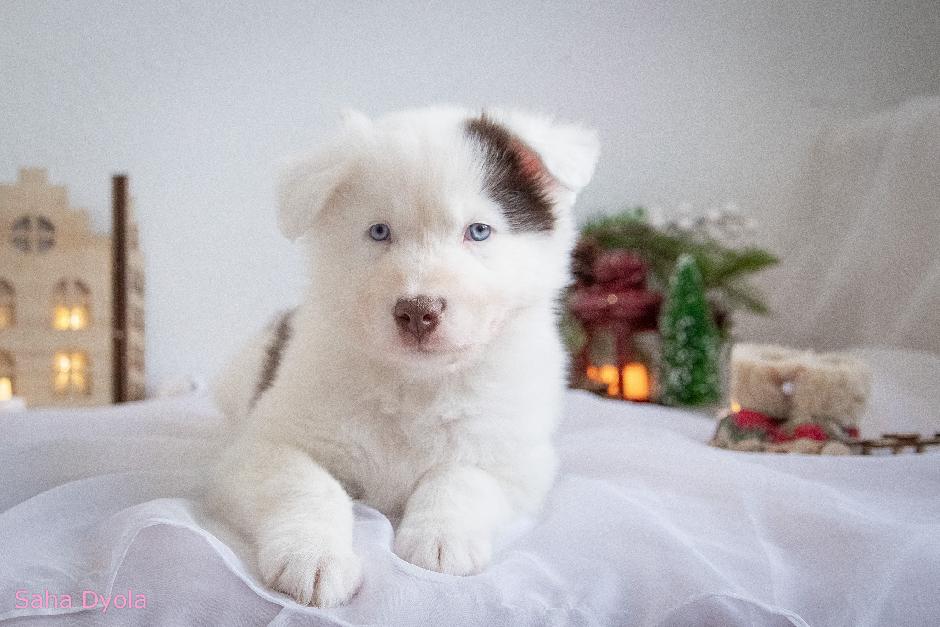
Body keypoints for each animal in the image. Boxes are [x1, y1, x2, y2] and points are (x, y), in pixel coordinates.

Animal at [209, 106, 599, 607]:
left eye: (479, 231)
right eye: (379, 232)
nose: (418, 311)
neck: (416, 384)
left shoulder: (517, 461)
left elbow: (462, 476)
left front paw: (441, 538)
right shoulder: (264, 445)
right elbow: (307, 483)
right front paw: (313, 556)